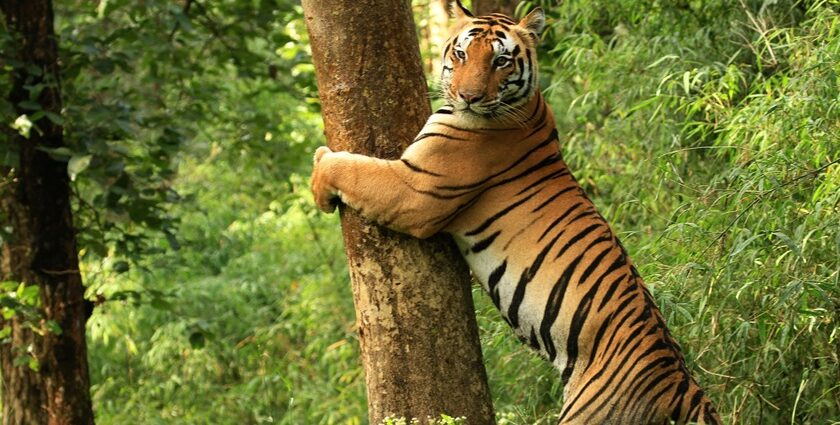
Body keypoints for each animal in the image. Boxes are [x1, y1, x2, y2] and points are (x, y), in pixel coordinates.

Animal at [310, 1, 720, 422]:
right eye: (462, 54)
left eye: (501, 61)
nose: (469, 96)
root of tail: (682, 385)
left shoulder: (414, 190)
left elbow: (353, 169)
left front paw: (319, 173)